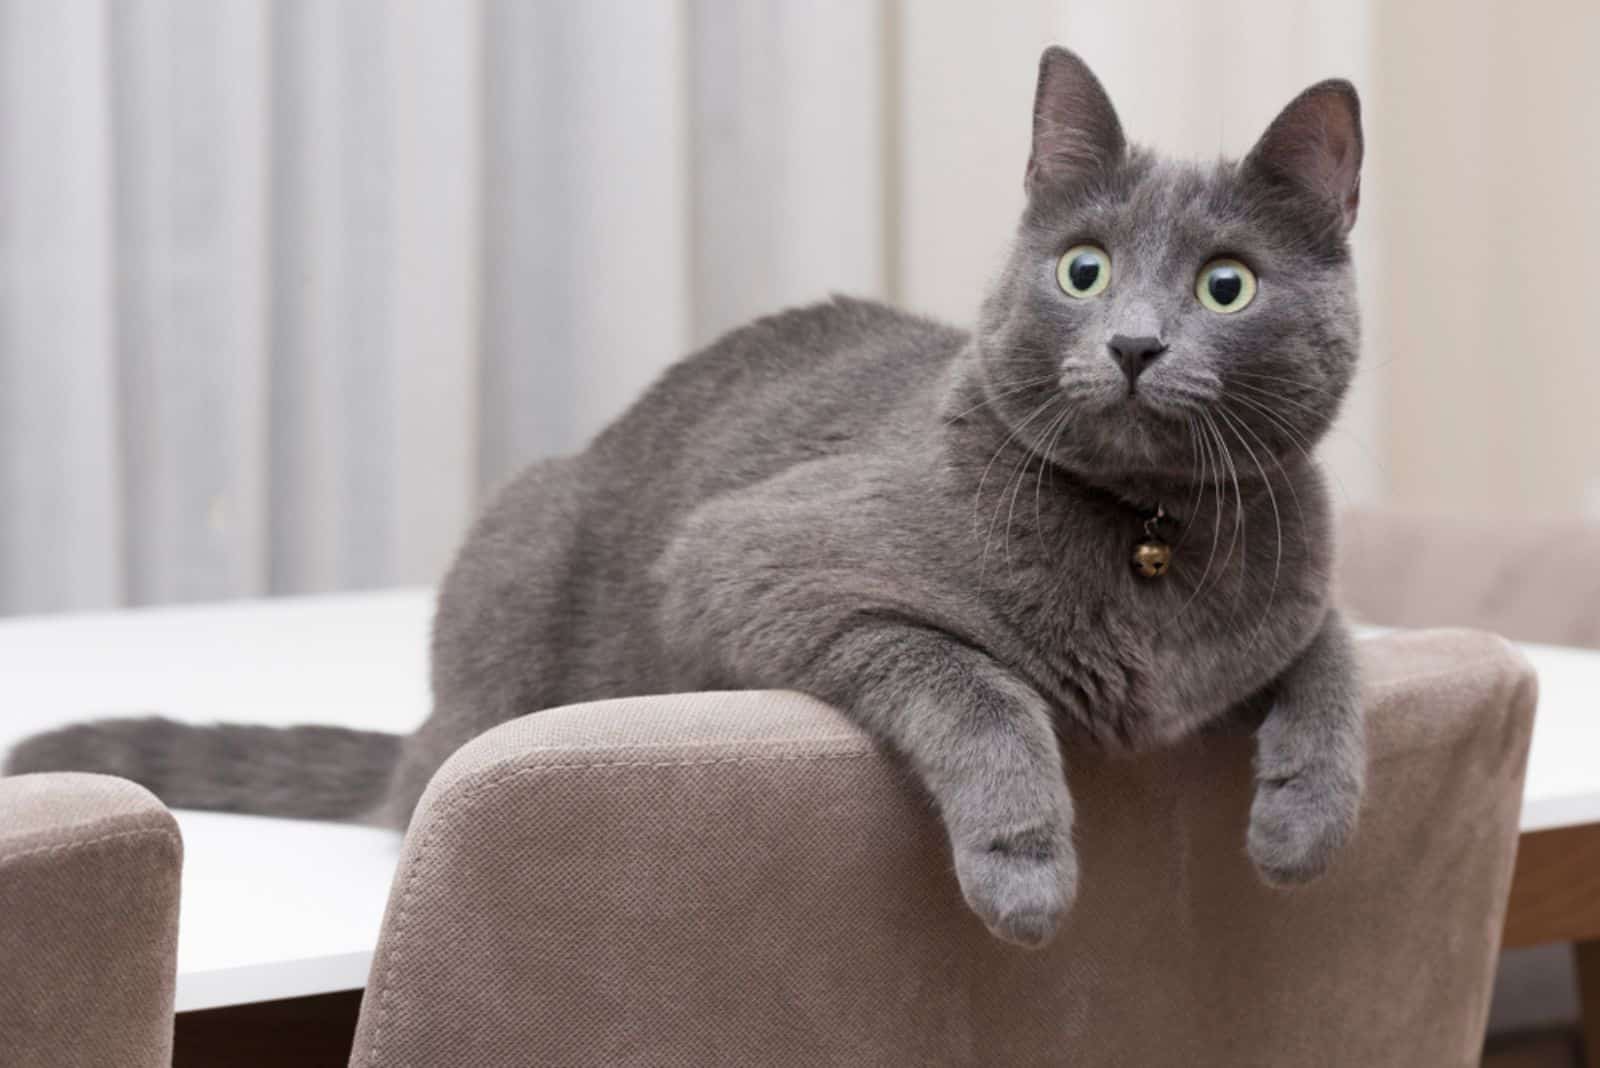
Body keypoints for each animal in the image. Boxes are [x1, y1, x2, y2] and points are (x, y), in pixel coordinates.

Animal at [9, 49, 1363, 946]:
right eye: (1082, 270)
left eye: (1227, 285)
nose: (1133, 344)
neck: (1150, 536)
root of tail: (426, 741)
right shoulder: (749, 565)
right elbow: (973, 680)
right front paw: (1024, 870)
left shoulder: (1292, 578)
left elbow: (1337, 653)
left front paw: (1304, 824)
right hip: (526, 535)